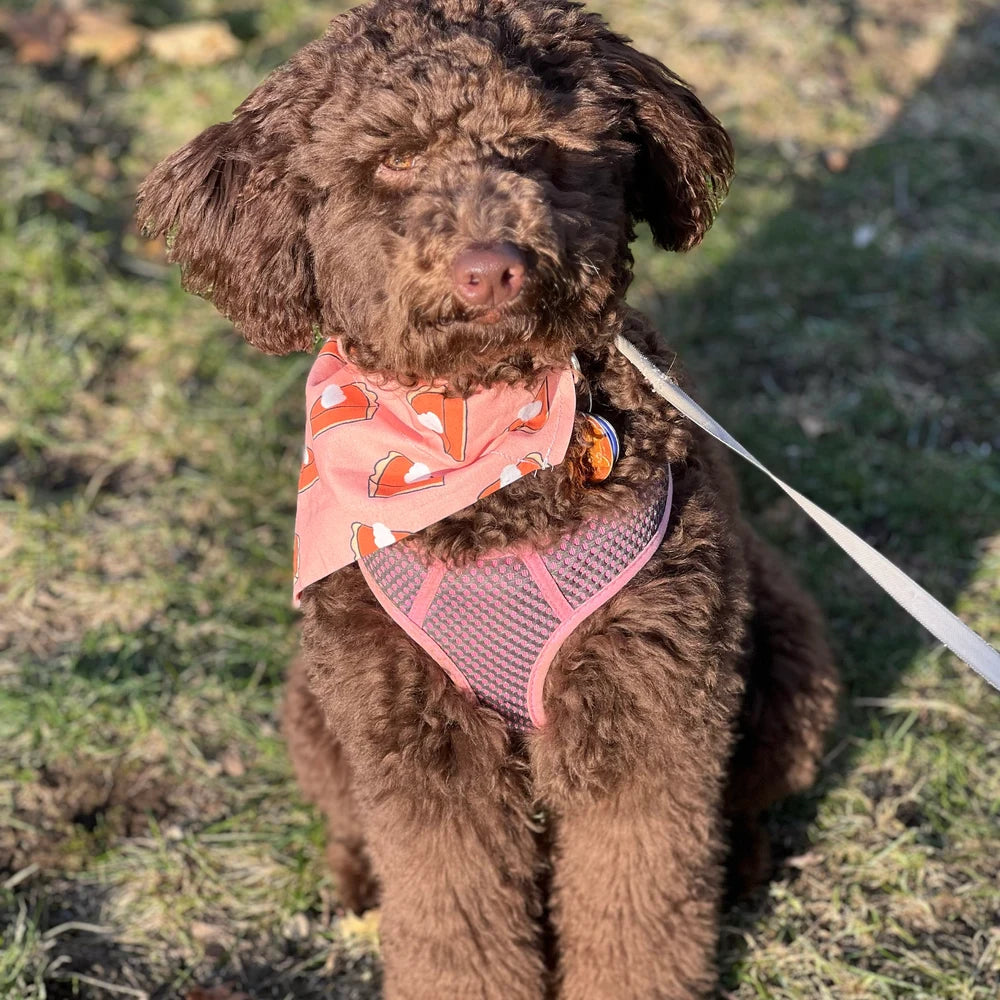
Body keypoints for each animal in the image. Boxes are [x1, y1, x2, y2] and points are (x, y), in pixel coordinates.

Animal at [141, 1, 840, 1000]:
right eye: (395, 158)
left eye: (535, 143)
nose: (491, 266)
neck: (482, 454)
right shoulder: (415, 744)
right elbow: (454, 917)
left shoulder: (653, 712)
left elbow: (638, 903)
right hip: (319, 710)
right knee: (352, 825)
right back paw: (361, 887)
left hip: (788, 660)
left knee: (744, 803)